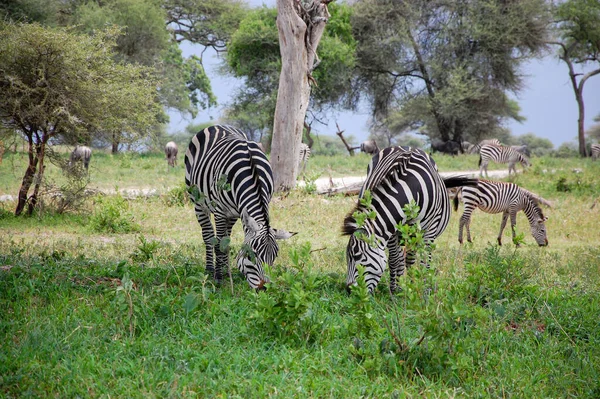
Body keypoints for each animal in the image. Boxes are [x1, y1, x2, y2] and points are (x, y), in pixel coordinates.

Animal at [184, 124, 294, 288]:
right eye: (251, 255)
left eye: (274, 257)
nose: (264, 288)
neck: (253, 173)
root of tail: (218, 125)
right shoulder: (220, 212)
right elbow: (219, 245)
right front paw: (218, 279)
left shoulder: (241, 210)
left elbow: (227, 243)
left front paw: (226, 273)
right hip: (198, 202)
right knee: (208, 235)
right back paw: (209, 269)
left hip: (233, 214)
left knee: (226, 237)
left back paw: (224, 268)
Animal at [342, 147, 478, 294]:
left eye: (357, 256)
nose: (349, 291)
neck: (410, 189)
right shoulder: (391, 231)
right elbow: (394, 260)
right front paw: (395, 291)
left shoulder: (428, 230)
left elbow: (423, 261)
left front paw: (423, 291)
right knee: (401, 257)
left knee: (410, 258)